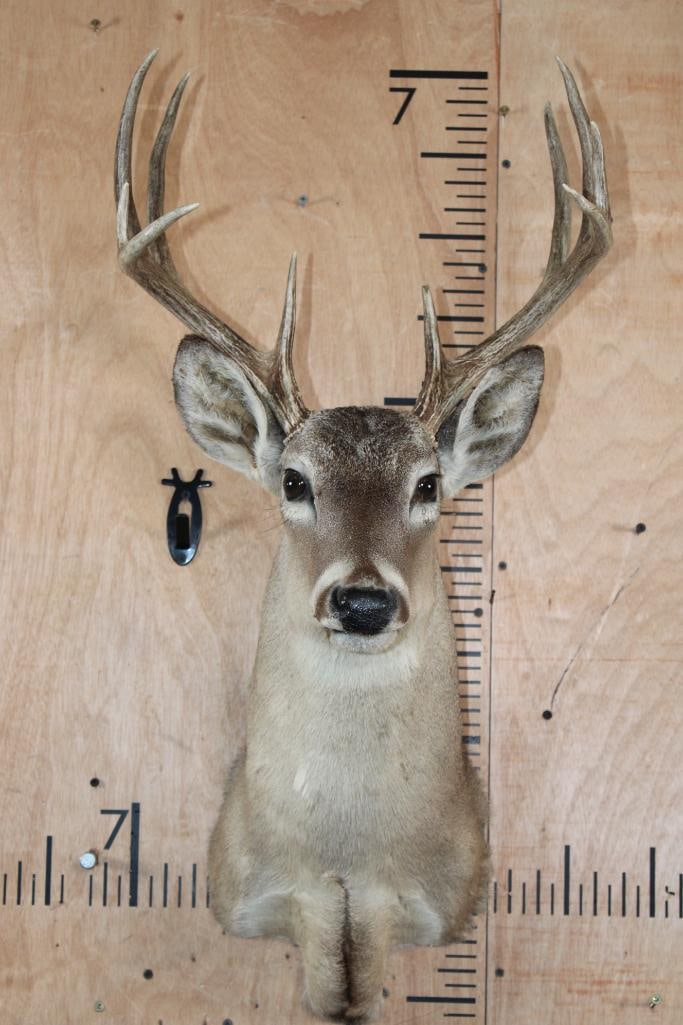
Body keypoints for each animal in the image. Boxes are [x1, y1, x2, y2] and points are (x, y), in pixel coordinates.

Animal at [115, 52, 611, 1021]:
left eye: (428, 485)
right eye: (293, 480)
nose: (362, 600)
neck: (343, 852)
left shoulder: (407, 904)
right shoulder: (288, 901)